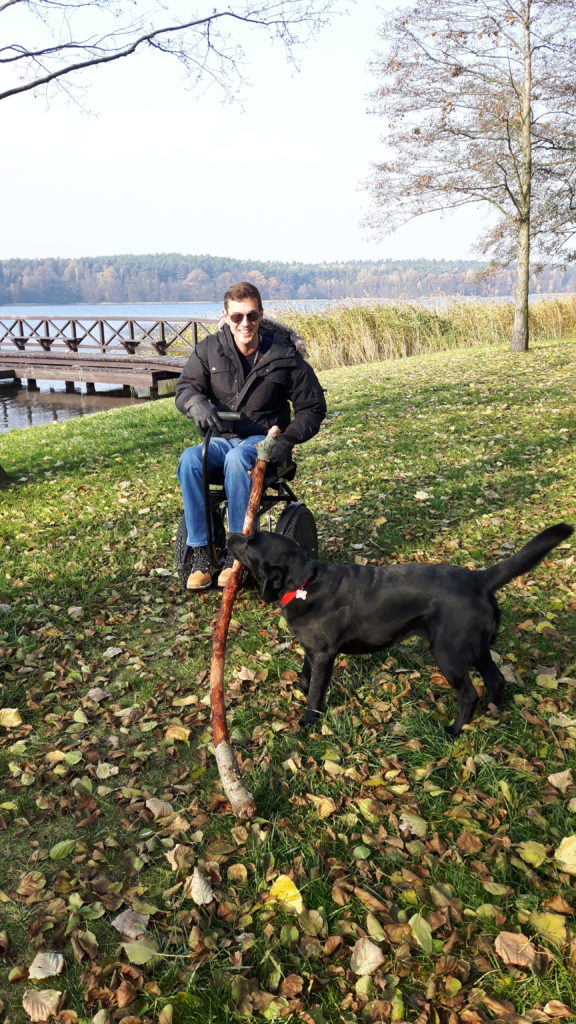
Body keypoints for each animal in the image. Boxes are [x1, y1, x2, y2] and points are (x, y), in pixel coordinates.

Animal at [226, 524, 569, 733]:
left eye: (252, 542)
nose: (231, 534)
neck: (304, 584)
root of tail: (479, 578)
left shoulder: (324, 654)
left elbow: (315, 692)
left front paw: (309, 721)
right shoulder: (313, 651)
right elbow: (305, 676)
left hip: (448, 653)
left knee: (469, 694)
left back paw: (454, 730)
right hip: (476, 648)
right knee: (496, 678)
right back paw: (494, 712)